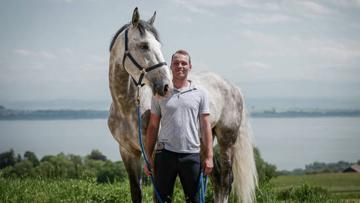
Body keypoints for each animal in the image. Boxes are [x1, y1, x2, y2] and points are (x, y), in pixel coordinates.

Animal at [108, 7, 258, 203]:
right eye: (144, 45)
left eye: (158, 45)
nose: (165, 85)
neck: (126, 107)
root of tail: (233, 87)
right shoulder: (127, 152)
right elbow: (136, 192)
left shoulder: (154, 154)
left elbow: (159, 194)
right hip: (204, 141)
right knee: (216, 176)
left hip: (227, 139)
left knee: (226, 179)